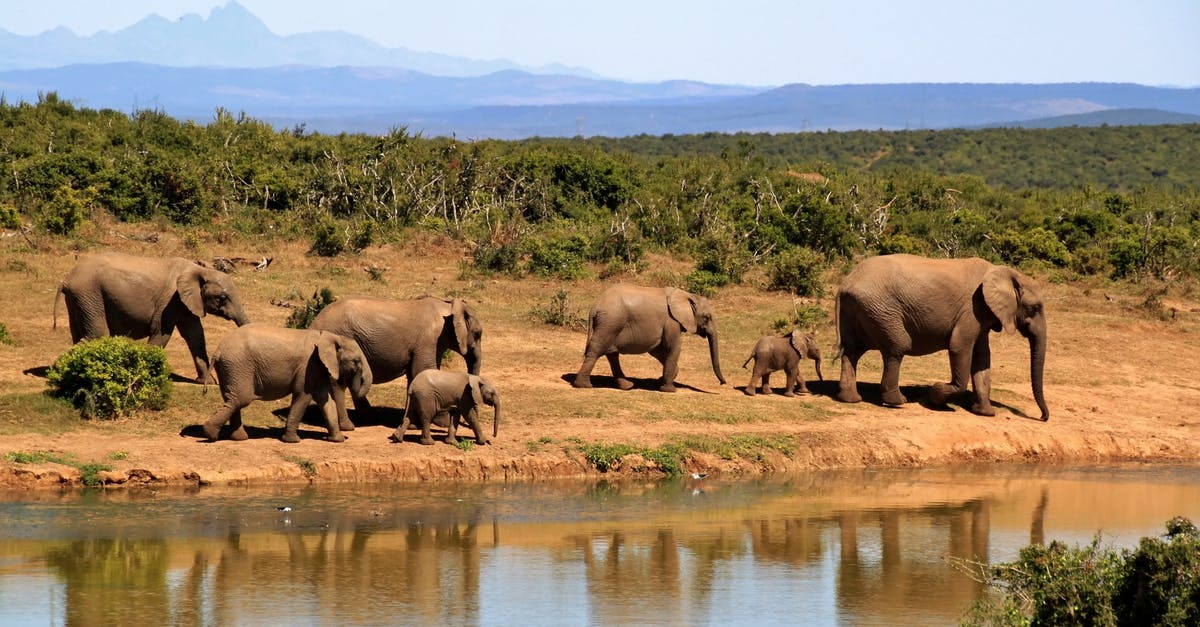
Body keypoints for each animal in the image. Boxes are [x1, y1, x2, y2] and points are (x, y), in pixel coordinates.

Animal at [56, 249, 248, 379]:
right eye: (222, 298)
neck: (199, 270)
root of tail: (66, 280)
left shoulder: (187, 302)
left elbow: (195, 336)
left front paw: (208, 382)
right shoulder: (171, 300)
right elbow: (162, 333)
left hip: (80, 299)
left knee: (81, 334)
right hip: (89, 294)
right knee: (97, 334)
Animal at [201, 324, 372, 442]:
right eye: (356, 361)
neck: (330, 336)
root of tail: (218, 351)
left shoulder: (317, 368)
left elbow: (325, 399)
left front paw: (337, 440)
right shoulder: (308, 366)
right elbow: (303, 395)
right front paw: (293, 441)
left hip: (230, 368)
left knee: (232, 399)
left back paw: (239, 438)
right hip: (239, 365)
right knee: (240, 399)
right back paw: (210, 433)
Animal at [307, 294, 484, 420]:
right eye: (478, 334)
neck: (448, 306)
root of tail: (314, 323)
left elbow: (415, 374)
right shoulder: (429, 340)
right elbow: (424, 370)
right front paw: (440, 422)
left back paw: (370, 416)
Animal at [573, 284, 729, 389]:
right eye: (707, 317)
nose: (723, 383)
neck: (687, 295)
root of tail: (594, 306)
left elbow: (657, 350)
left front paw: (664, 378)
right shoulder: (671, 321)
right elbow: (673, 347)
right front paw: (669, 389)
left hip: (611, 324)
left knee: (612, 354)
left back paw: (627, 386)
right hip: (611, 322)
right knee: (597, 349)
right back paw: (584, 385)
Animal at [835, 249, 1051, 420]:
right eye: (1035, 307)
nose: (1042, 417)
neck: (1004, 272)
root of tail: (845, 284)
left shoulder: (982, 314)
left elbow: (982, 357)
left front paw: (986, 413)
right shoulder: (972, 309)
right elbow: (959, 346)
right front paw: (935, 395)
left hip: (859, 310)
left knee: (852, 351)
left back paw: (851, 399)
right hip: (881, 309)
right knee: (897, 347)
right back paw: (897, 401)